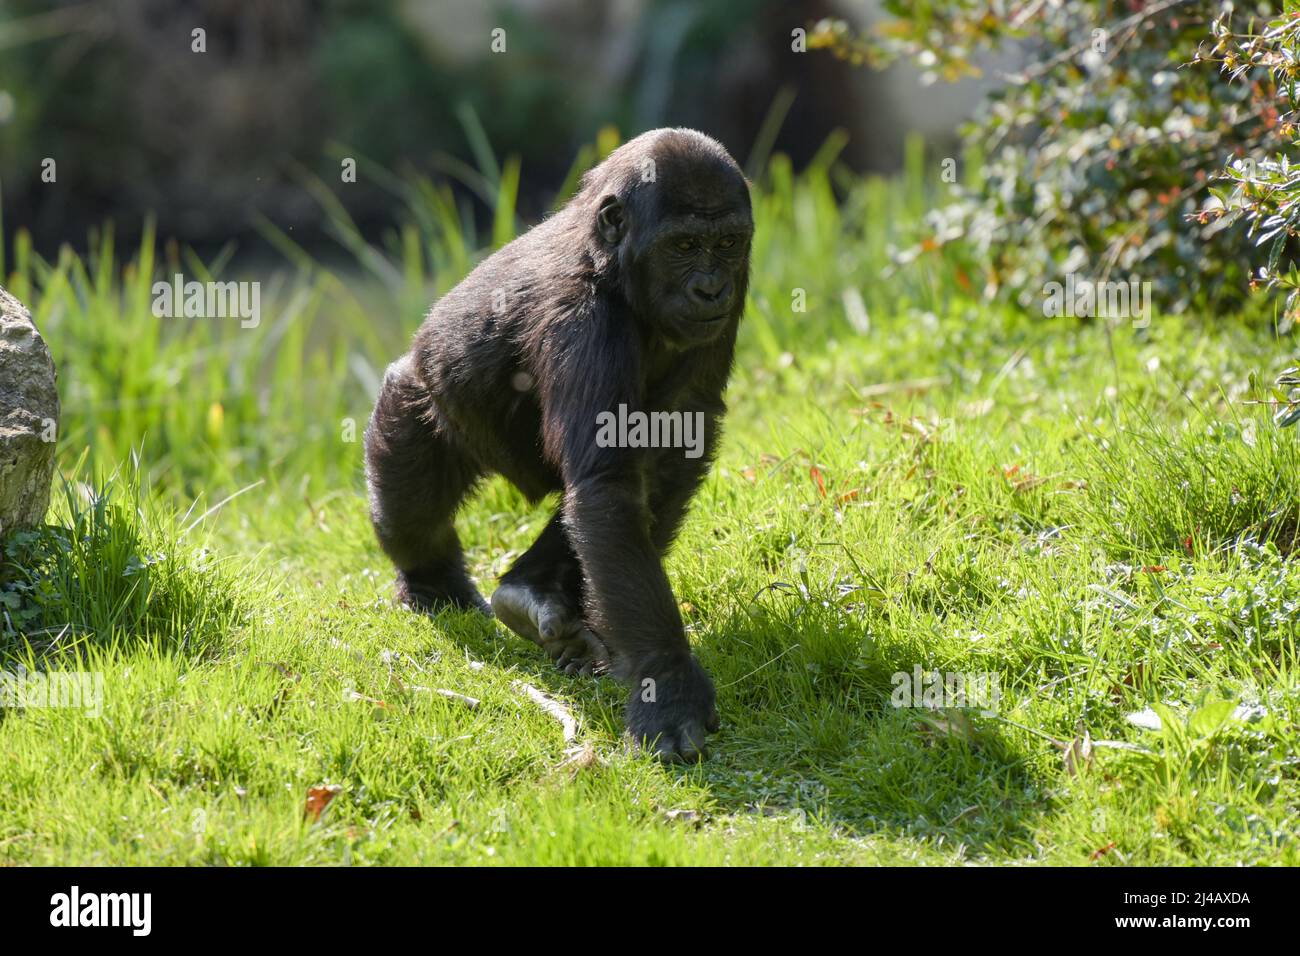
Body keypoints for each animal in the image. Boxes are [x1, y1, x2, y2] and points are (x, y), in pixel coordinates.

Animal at [366, 128, 754, 764]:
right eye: (684, 245)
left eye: (725, 244)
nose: (710, 287)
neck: (611, 266)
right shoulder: (583, 320)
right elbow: (608, 487)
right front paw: (668, 683)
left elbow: (670, 446)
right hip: (421, 396)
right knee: (410, 501)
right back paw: (432, 580)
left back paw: (533, 592)